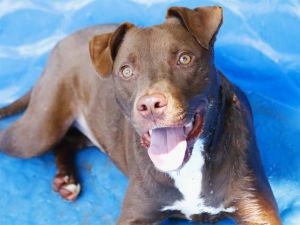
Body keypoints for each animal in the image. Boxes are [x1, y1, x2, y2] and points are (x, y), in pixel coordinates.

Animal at [0, 5, 282, 225]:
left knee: (68, 140)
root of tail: (61, 42)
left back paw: (66, 179)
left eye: (184, 59)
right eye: (126, 71)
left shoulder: (256, 209)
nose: (150, 105)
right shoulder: (136, 214)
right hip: (39, 130)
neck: (188, 165)